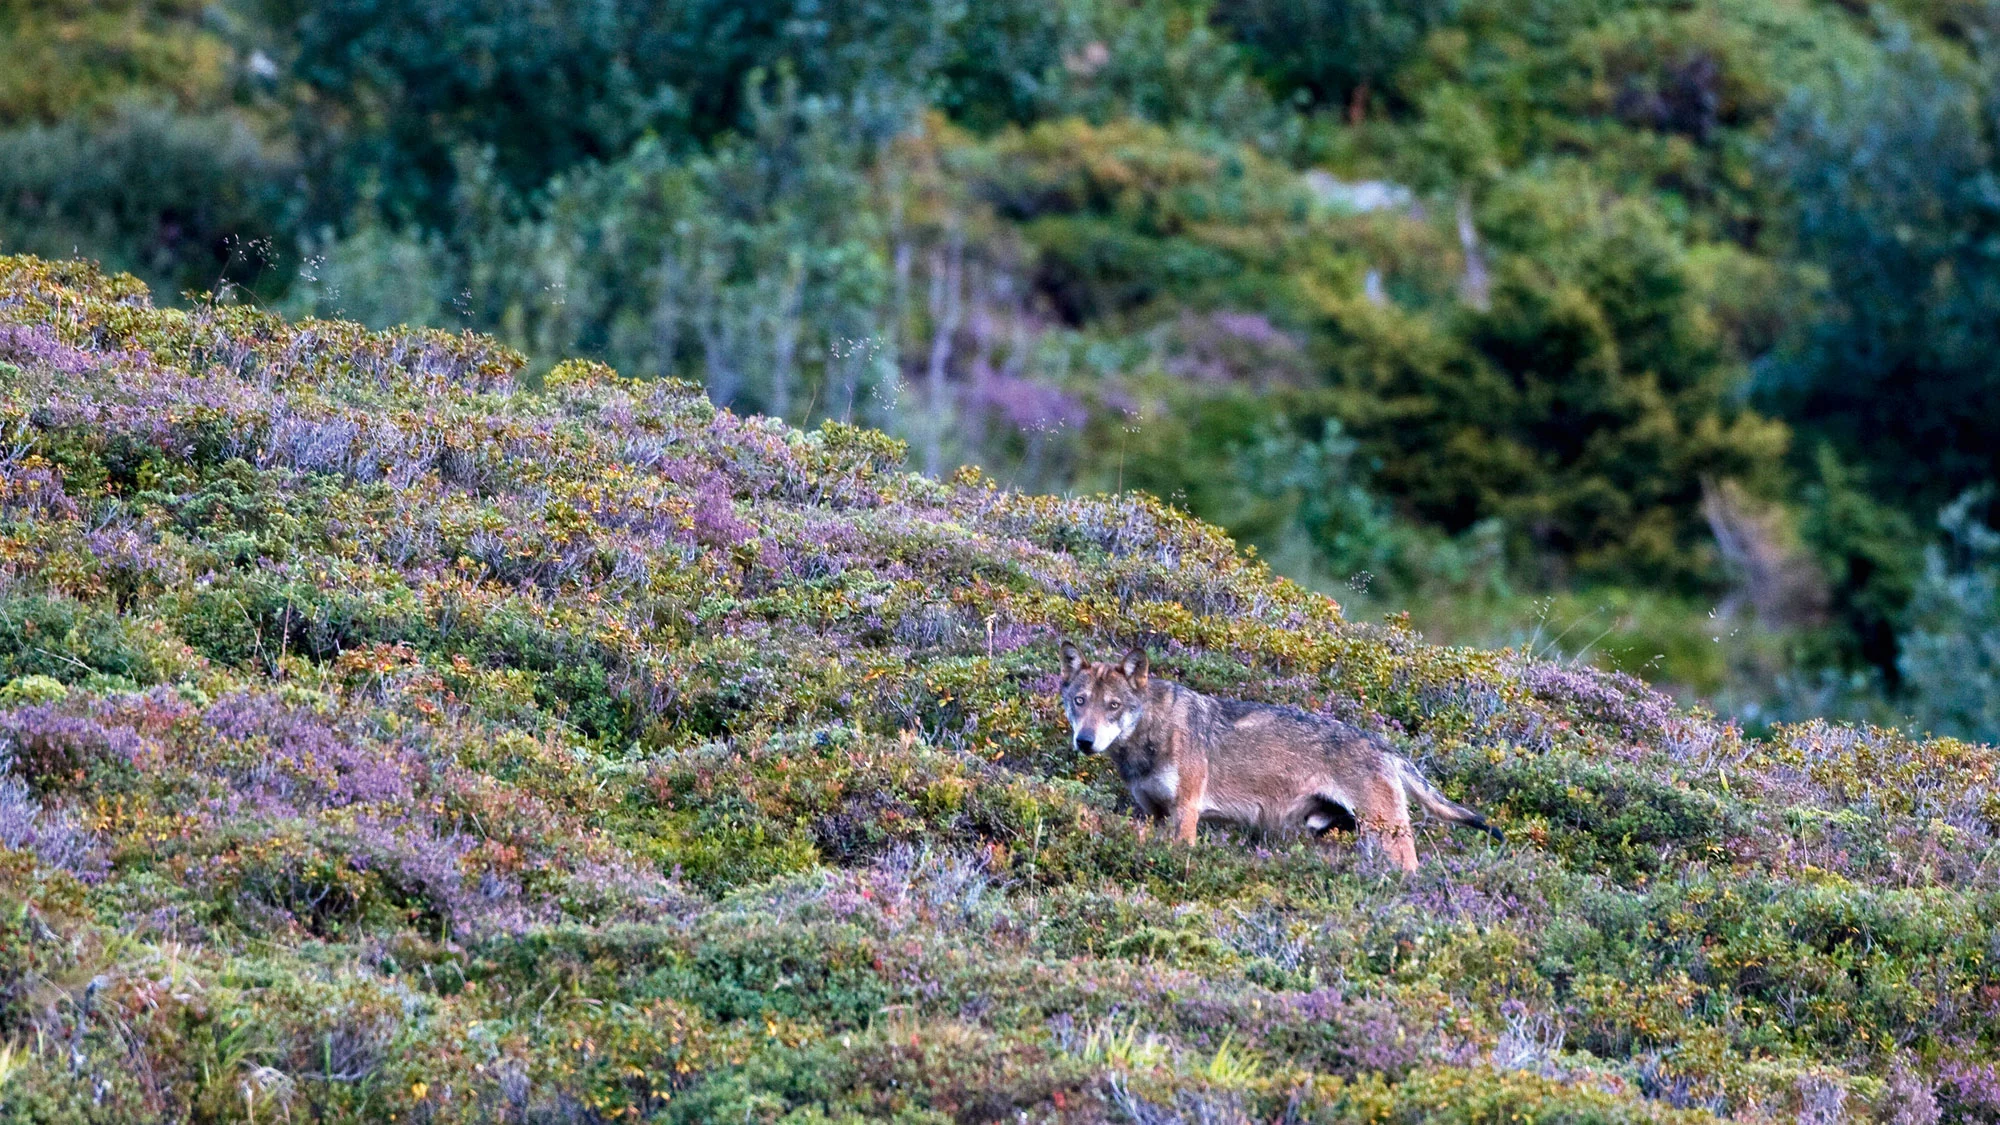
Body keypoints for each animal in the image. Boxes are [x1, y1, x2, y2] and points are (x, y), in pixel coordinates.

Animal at [1064, 640, 1504, 868]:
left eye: (1113, 707)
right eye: (1079, 702)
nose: (1085, 741)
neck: (1150, 737)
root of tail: (1383, 745)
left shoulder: (1186, 814)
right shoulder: (1154, 815)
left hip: (1385, 838)